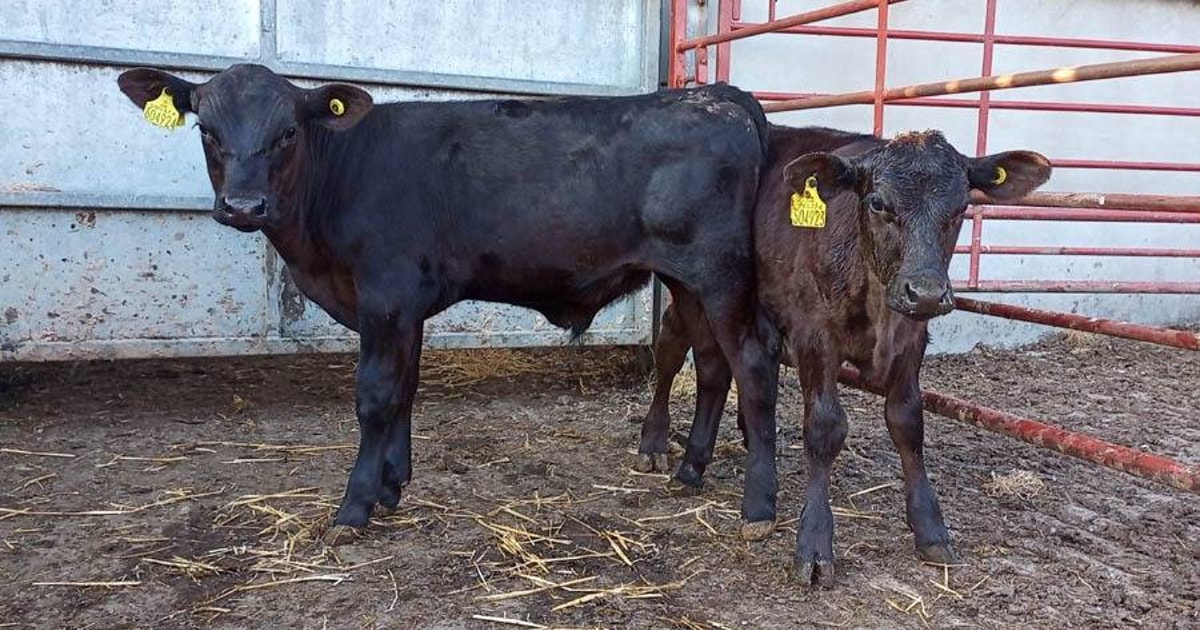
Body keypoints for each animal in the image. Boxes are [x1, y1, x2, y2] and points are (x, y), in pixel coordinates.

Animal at [117, 64, 783, 544]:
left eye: (288, 133)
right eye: (207, 131)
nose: (243, 206)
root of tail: (716, 97)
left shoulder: (384, 297)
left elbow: (374, 397)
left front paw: (354, 507)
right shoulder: (405, 307)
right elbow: (405, 390)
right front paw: (392, 485)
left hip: (720, 275)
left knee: (752, 367)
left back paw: (759, 506)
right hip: (687, 283)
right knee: (712, 365)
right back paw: (691, 468)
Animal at [636, 125, 1051, 586]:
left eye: (962, 206)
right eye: (878, 202)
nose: (926, 292)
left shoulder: (912, 340)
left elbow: (908, 424)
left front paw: (930, 530)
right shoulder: (815, 336)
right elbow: (825, 427)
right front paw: (814, 543)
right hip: (692, 290)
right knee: (678, 350)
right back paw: (659, 444)